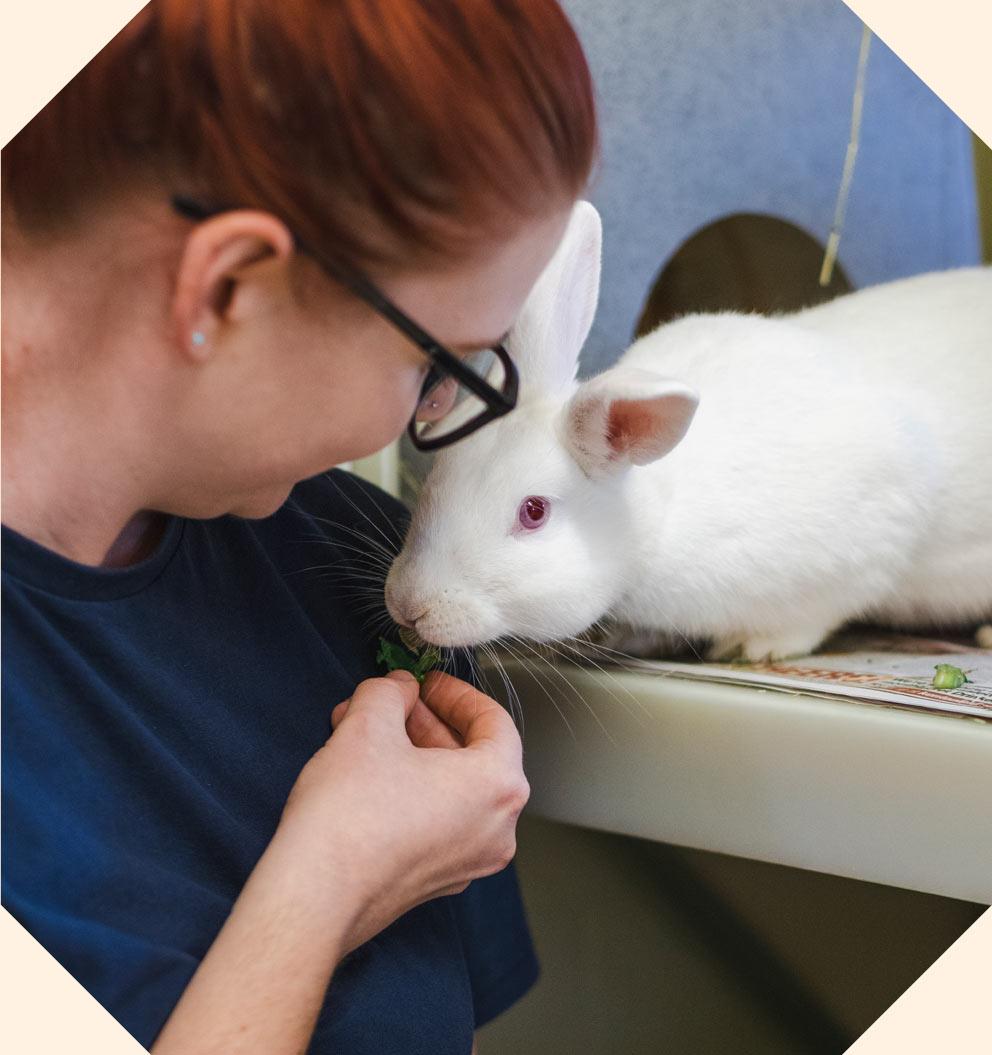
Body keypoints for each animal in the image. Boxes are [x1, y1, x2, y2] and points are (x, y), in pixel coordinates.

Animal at [386, 199, 992, 658]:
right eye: (439, 471)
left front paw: (752, 648)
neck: (656, 518)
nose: (409, 606)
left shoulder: (870, 535)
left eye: (533, 512)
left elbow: (817, 613)